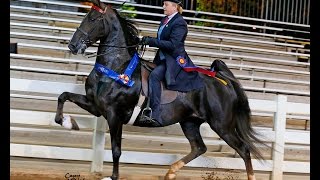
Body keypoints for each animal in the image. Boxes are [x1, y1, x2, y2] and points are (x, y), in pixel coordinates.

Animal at [54, 0, 264, 179]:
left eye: (93, 19)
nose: (73, 46)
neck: (116, 68)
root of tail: (223, 81)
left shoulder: (114, 115)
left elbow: (116, 150)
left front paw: (113, 176)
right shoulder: (96, 106)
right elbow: (63, 96)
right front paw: (68, 123)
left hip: (222, 125)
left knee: (243, 149)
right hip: (190, 122)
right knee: (199, 148)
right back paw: (170, 172)